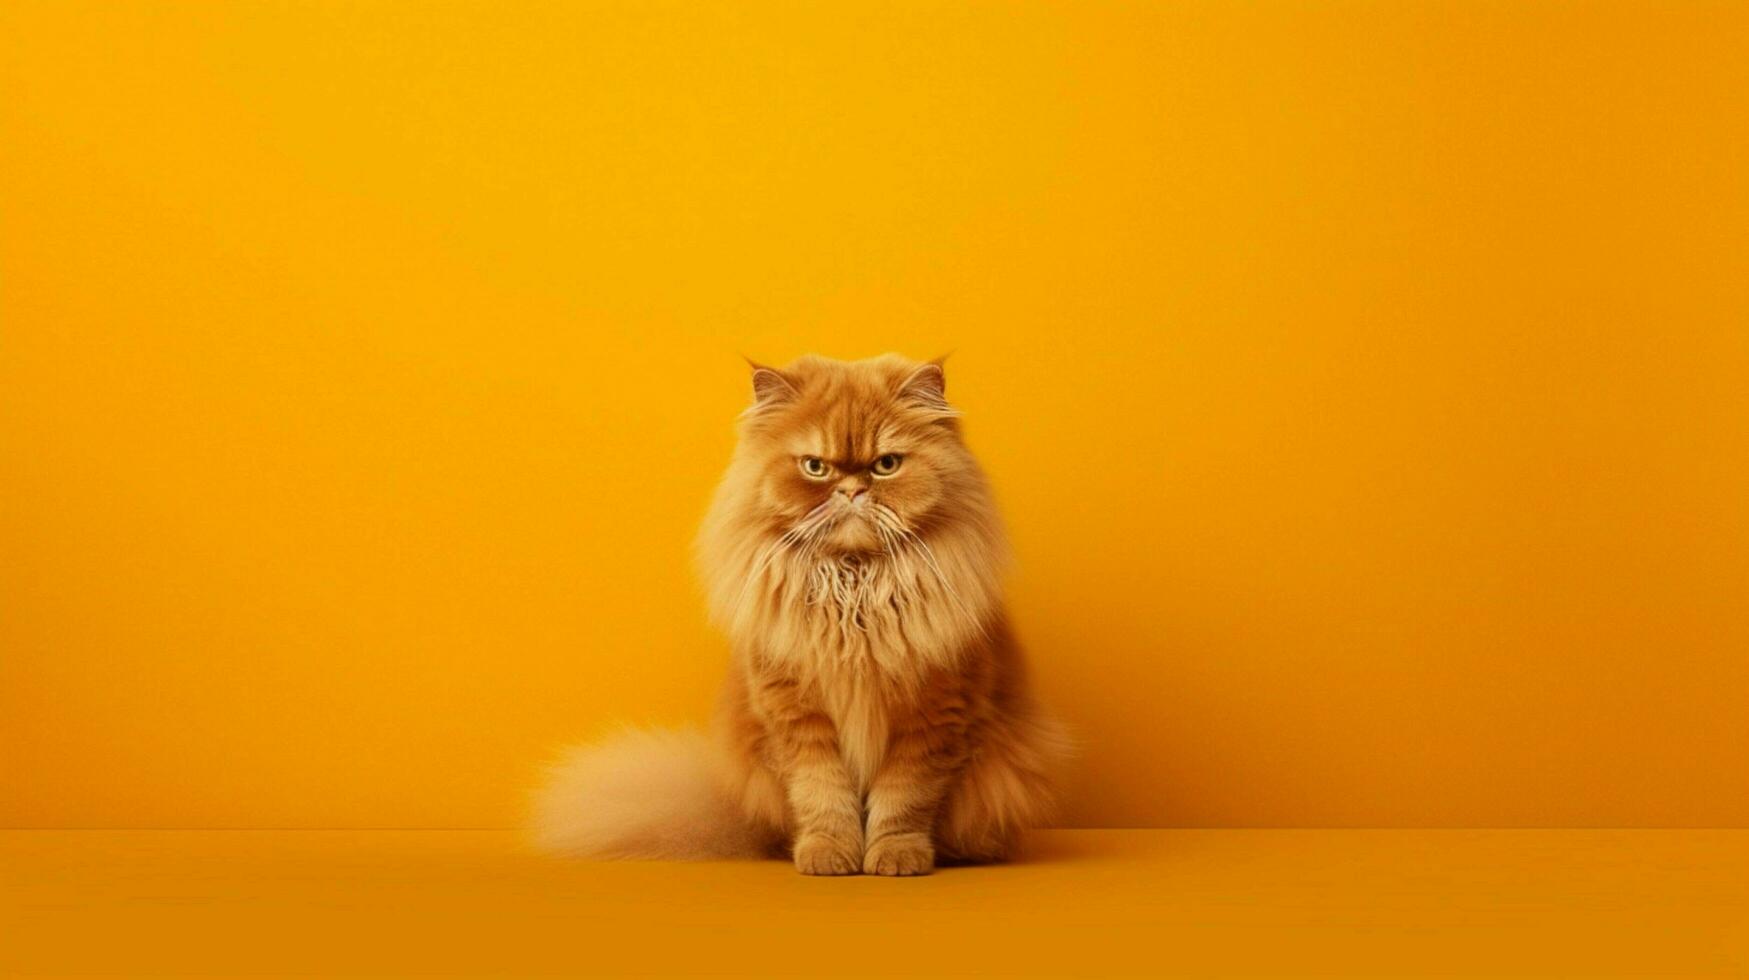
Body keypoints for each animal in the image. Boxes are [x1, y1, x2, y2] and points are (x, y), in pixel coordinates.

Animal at [531, 351, 1063, 871]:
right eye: (815, 467)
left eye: (886, 465)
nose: (851, 491)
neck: (854, 592)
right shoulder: (797, 717)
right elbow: (823, 797)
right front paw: (828, 855)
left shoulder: (933, 716)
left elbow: (903, 801)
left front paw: (896, 857)